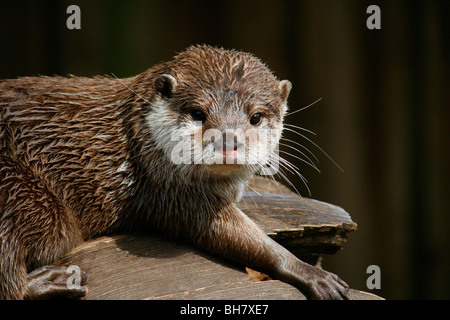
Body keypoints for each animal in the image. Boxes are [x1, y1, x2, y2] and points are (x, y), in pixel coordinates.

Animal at [0, 45, 350, 300]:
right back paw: (54, 280)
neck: (136, 132)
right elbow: (241, 237)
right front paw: (309, 272)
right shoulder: (169, 188)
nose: (228, 141)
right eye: (197, 113)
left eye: (256, 117)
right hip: (21, 193)